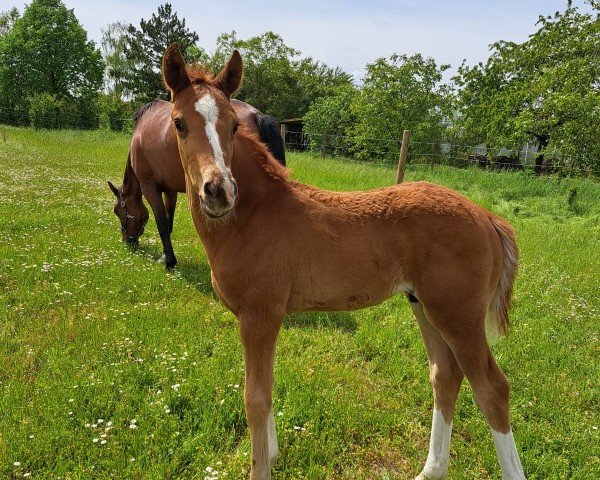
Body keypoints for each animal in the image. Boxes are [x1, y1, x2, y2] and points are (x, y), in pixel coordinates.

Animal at [108, 97, 286, 270]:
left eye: (117, 211)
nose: (128, 241)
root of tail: (256, 115)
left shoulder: (149, 187)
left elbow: (162, 225)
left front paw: (169, 262)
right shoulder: (170, 190)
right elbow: (169, 222)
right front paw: (166, 256)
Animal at [162, 43, 528, 478]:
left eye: (233, 125)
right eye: (179, 123)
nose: (218, 191)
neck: (252, 216)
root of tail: (487, 217)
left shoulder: (259, 315)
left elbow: (255, 399)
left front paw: (261, 465)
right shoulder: (265, 319)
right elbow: (267, 388)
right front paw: (273, 454)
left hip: (458, 314)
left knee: (492, 387)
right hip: (424, 305)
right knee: (446, 375)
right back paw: (430, 469)